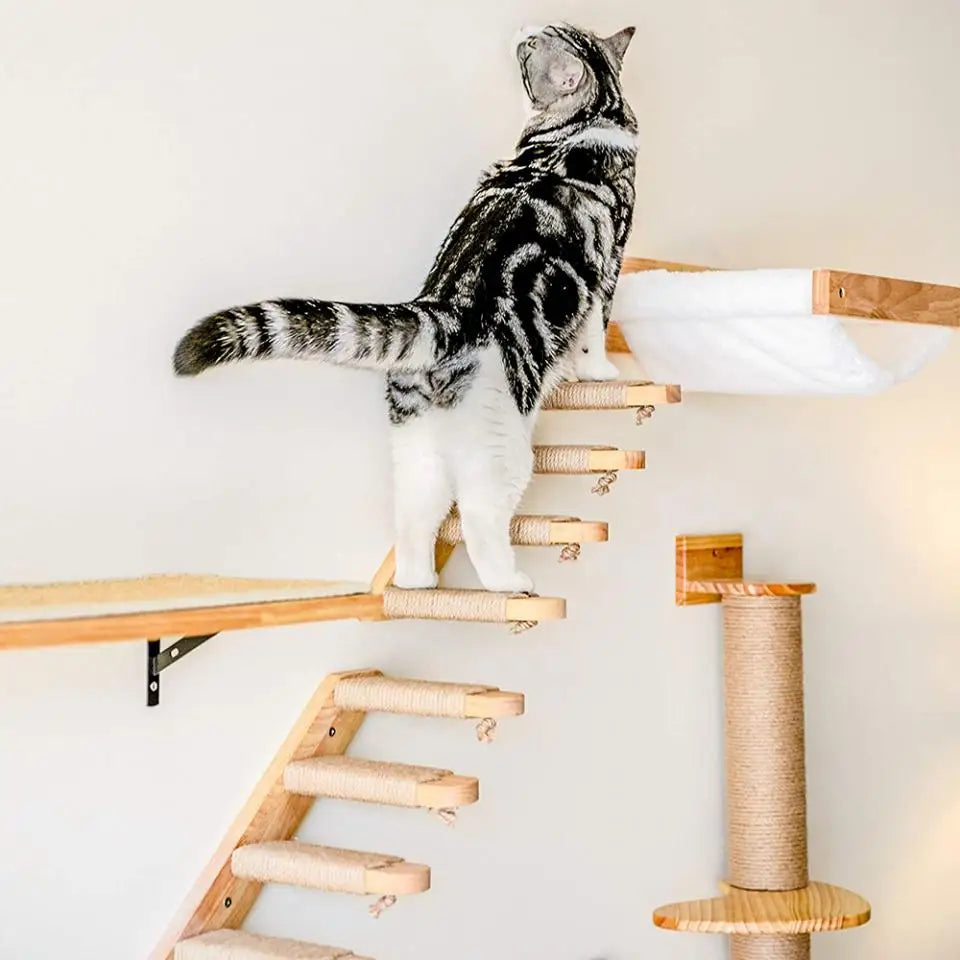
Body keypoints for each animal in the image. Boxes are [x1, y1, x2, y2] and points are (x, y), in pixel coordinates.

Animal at [172, 22, 636, 592]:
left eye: (536, 45)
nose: (522, 30)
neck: (589, 119)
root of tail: (442, 313)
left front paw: (573, 371)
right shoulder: (608, 263)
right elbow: (595, 329)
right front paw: (599, 372)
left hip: (416, 447)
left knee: (415, 518)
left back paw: (419, 582)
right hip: (502, 450)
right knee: (480, 518)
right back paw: (508, 583)